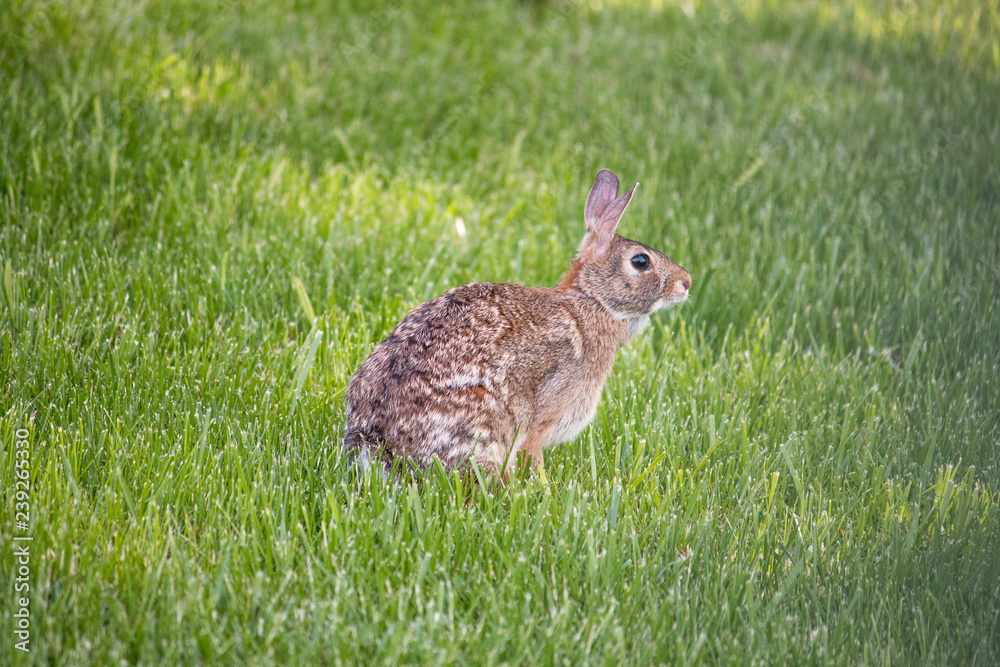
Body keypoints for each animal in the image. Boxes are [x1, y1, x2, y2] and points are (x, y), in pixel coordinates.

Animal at [343, 168, 692, 481]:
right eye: (641, 261)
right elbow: (534, 453)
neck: (591, 301)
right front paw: (548, 491)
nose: (687, 282)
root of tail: (376, 445)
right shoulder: (545, 413)